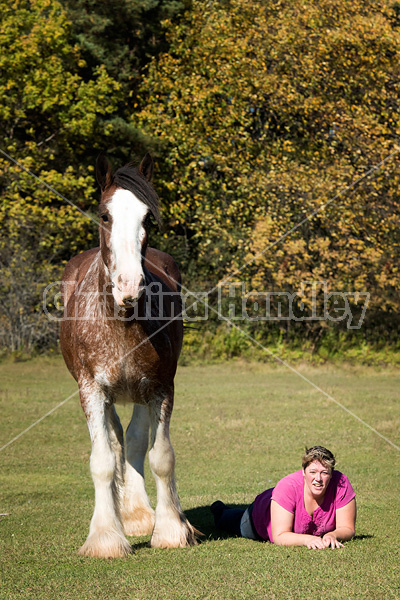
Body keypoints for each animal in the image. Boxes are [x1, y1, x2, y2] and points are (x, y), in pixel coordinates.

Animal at [59, 154, 197, 556]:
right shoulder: (91, 390)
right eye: (105, 215)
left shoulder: (159, 388)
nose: (129, 286)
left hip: (138, 390)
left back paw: (138, 514)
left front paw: (170, 530)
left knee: (134, 438)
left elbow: (160, 455)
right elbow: (103, 460)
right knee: (117, 440)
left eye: (147, 218)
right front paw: (106, 537)